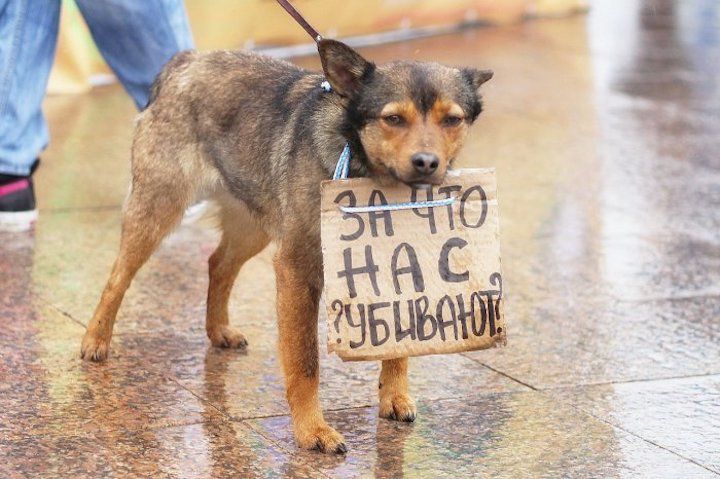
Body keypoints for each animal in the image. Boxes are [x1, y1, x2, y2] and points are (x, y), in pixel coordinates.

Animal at [81, 40, 492, 454]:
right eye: (393, 119)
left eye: (451, 119)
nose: (426, 163)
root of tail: (187, 60)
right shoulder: (298, 268)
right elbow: (305, 361)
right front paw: (312, 430)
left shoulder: (396, 265)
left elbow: (398, 342)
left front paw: (392, 395)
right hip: (158, 208)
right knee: (118, 276)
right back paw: (95, 339)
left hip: (253, 223)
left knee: (218, 264)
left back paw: (218, 329)